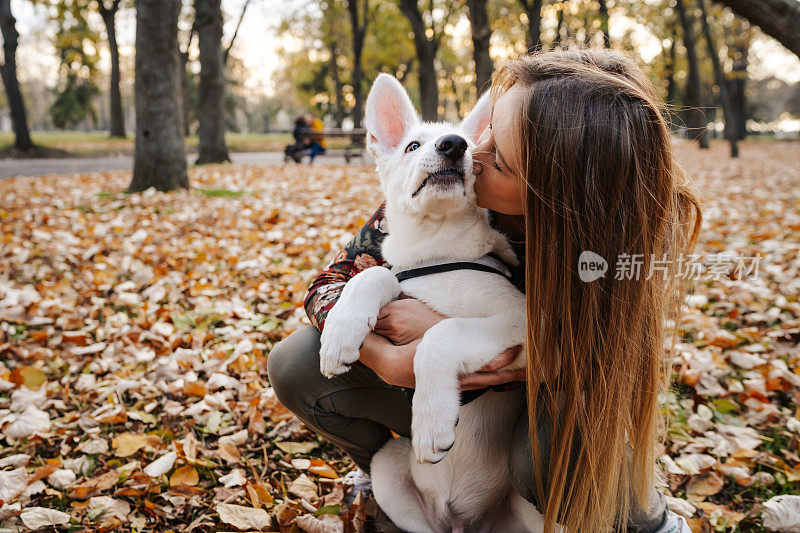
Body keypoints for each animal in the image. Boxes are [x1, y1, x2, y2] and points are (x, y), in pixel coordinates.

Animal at [318, 76, 544, 532]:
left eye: (469, 149)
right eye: (412, 146)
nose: (454, 145)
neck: (436, 248)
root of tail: (460, 522)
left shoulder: (521, 326)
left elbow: (441, 332)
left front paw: (430, 423)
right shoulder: (400, 273)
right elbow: (375, 274)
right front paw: (338, 336)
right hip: (388, 470)